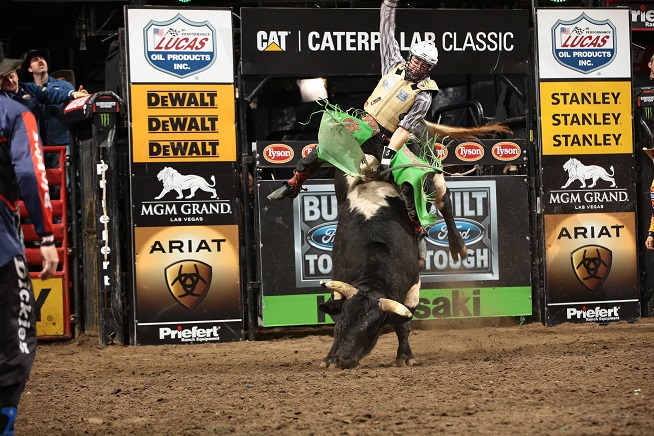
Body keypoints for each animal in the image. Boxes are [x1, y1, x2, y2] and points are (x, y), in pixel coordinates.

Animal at [318, 162, 466, 370]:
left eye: (374, 328)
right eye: (344, 322)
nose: (344, 359)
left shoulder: (412, 287)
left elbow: (403, 326)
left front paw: (405, 356)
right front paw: (329, 358)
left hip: (432, 174)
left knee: (444, 199)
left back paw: (458, 246)